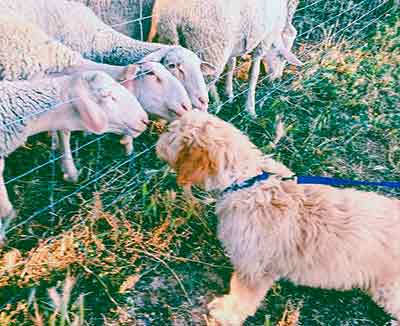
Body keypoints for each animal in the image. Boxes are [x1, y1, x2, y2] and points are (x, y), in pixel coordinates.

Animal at [148, 0, 304, 116]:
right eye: (281, 57)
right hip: (209, 48)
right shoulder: (264, 40)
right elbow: (253, 74)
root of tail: (172, 15)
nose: (276, 79)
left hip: (170, 40)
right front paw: (250, 109)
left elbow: (231, 64)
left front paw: (229, 94)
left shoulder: (233, 44)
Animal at [155, 111, 400, 324]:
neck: (245, 182)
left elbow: (242, 297)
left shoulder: (254, 268)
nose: (157, 138)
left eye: (170, 133)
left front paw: (225, 314)